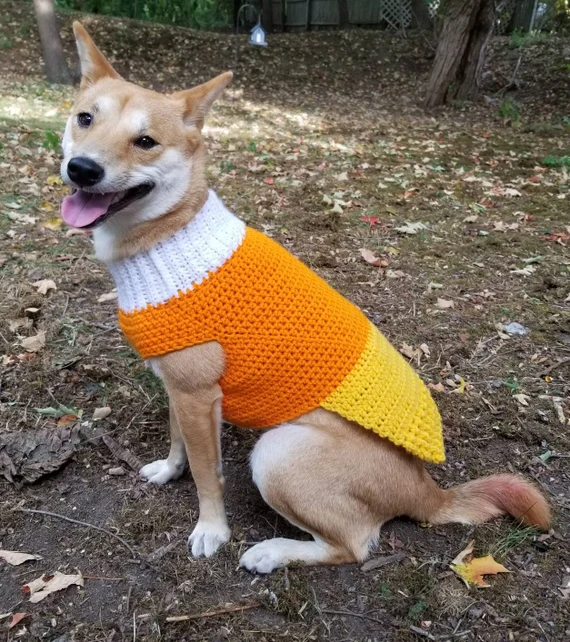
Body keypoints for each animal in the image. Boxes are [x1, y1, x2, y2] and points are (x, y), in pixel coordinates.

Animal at [58, 22, 552, 572]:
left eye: (145, 141)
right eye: (85, 118)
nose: (82, 169)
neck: (170, 235)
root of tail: (428, 490)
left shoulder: (198, 394)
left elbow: (209, 475)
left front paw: (212, 529)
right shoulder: (178, 387)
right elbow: (177, 441)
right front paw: (168, 470)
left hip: (278, 452)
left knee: (353, 544)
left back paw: (273, 551)